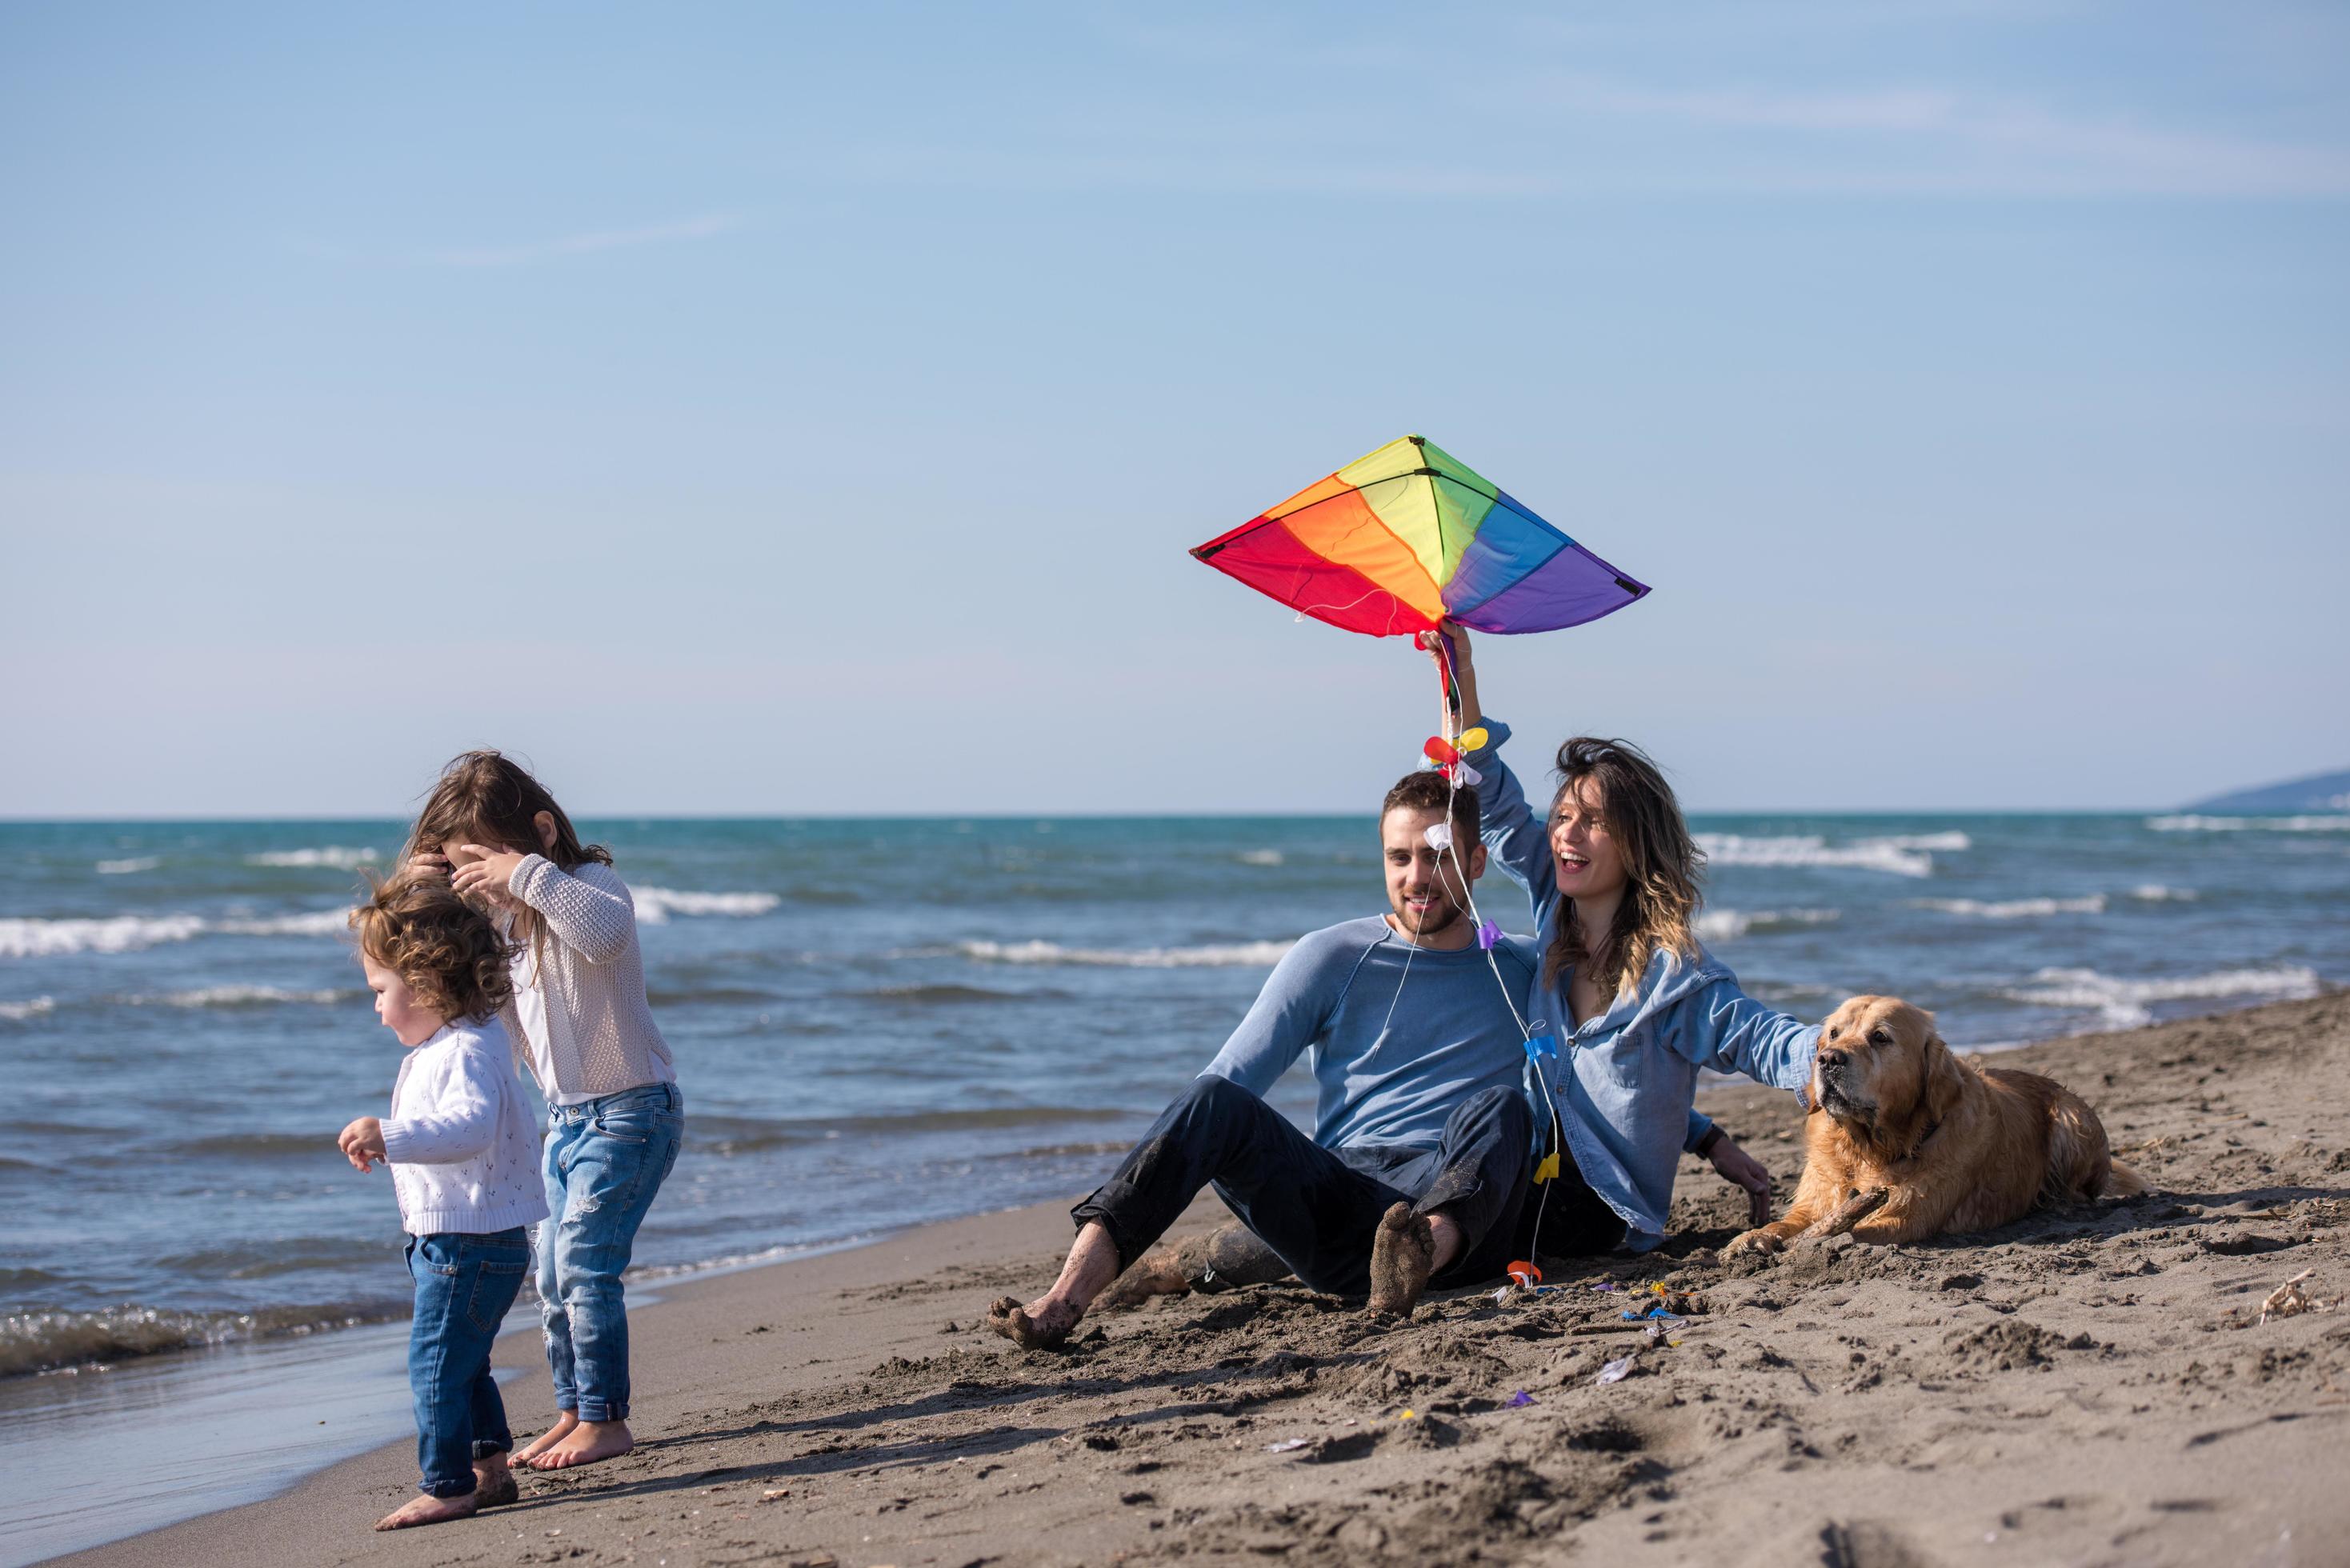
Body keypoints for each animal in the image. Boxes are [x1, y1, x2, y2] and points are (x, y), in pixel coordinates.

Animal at [1719, 1001, 2143, 1260]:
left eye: (1880, 1037)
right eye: (1834, 1034)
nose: (1828, 1059)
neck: (1870, 1149)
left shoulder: (1907, 1216)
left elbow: (1850, 1231)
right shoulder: (1818, 1197)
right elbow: (1786, 1222)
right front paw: (1749, 1239)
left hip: (2072, 1120)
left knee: (2083, 1189)